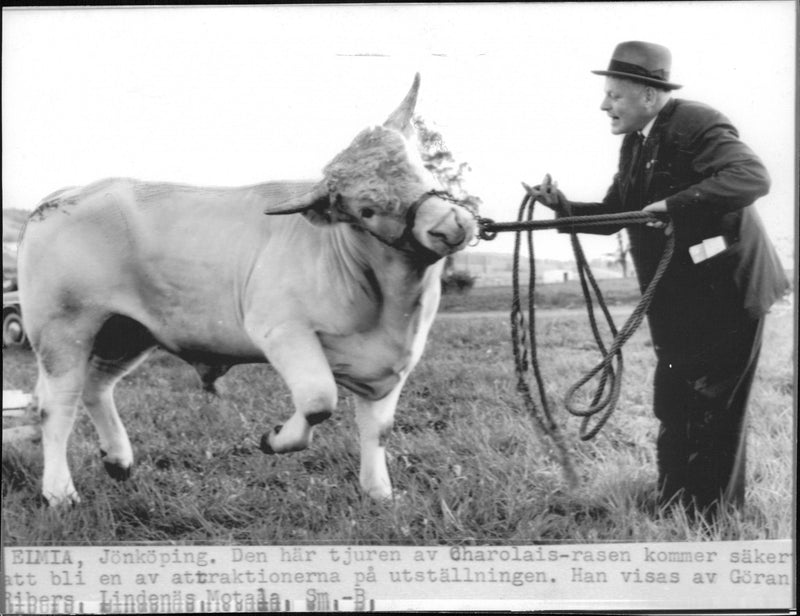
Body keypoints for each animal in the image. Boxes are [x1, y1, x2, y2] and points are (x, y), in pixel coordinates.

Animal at [18, 74, 478, 506]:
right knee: (57, 405)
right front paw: (275, 439)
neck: (392, 307)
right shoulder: (281, 329)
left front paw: (378, 492)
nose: (451, 225)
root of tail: (67, 194)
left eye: (420, 169)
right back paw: (59, 492)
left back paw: (118, 460)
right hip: (63, 329)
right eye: (366, 210)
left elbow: (379, 429)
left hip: (127, 330)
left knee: (96, 386)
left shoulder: (391, 363)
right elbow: (318, 400)